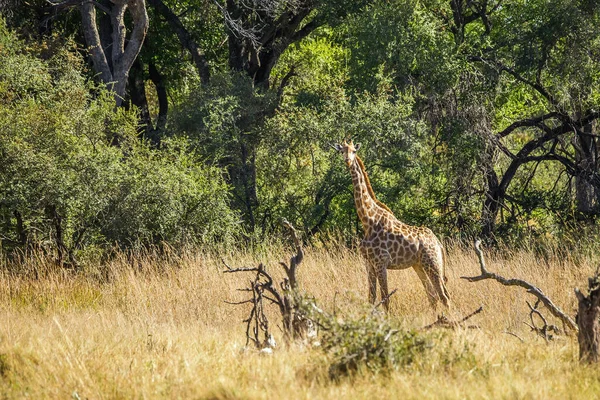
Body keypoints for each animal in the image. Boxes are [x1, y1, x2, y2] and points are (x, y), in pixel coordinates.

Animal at [332, 139, 450, 310]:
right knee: (432, 295)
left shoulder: (381, 262)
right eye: (342, 151)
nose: (348, 161)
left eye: (354, 151)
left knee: (444, 296)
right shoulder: (368, 263)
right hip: (419, 265)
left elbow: (385, 299)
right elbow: (371, 298)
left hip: (432, 263)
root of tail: (438, 243)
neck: (368, 221)